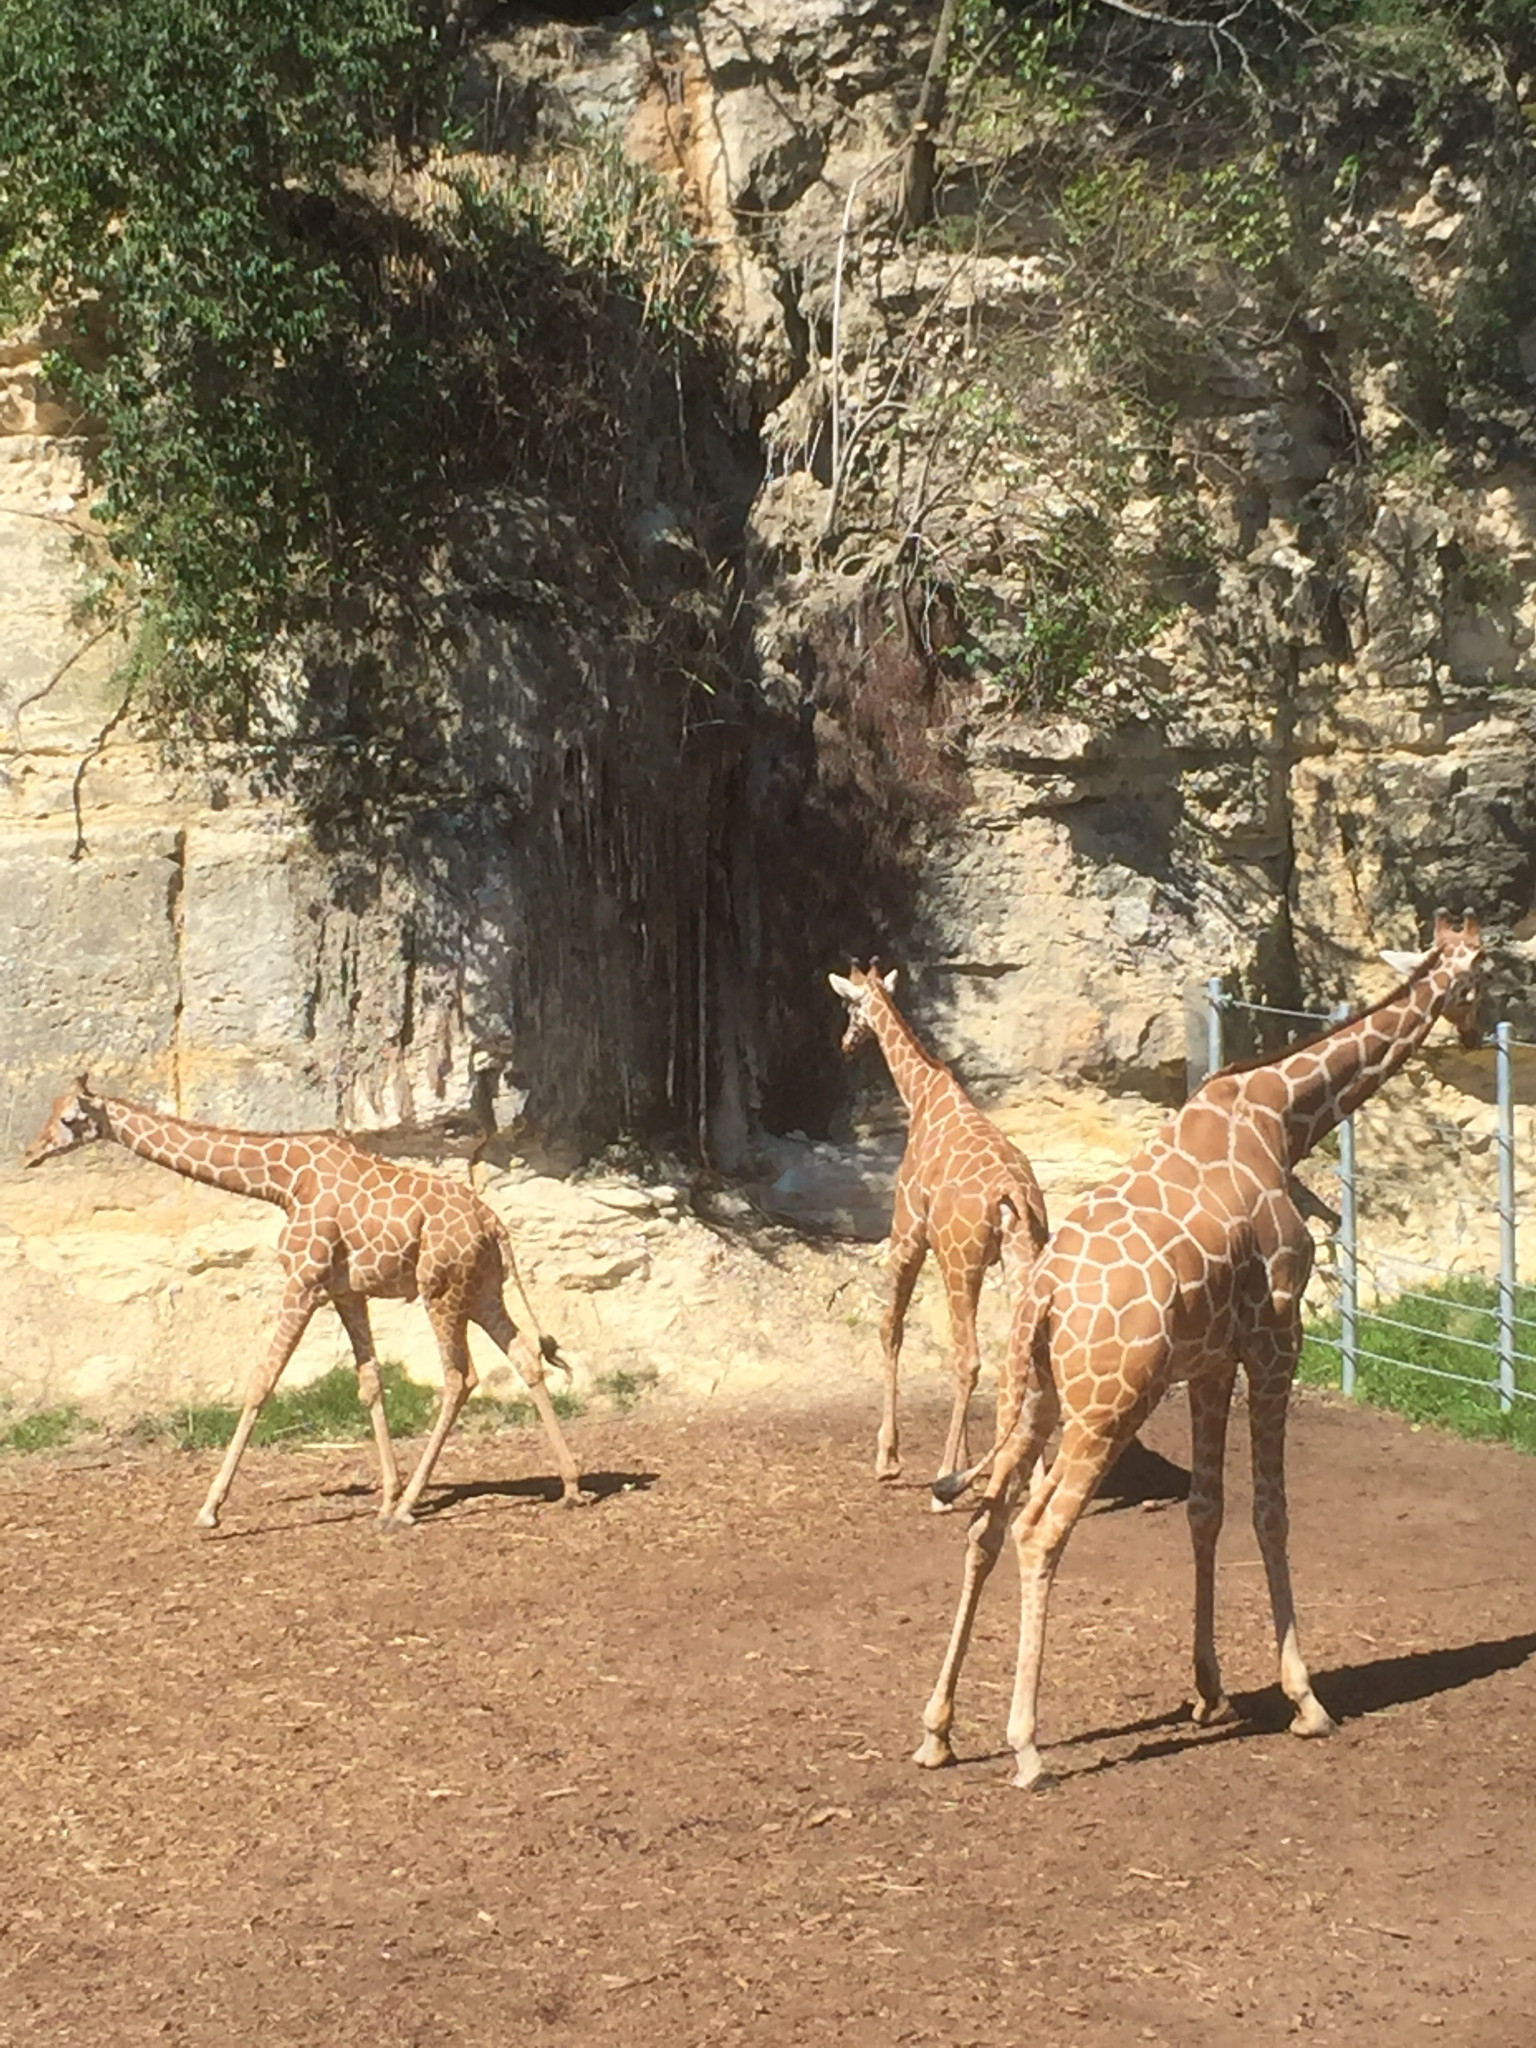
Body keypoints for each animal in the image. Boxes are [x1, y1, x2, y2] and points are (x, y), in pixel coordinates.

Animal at [20, 1081, 585, 1531]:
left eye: (69, 1118)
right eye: (50, 1109)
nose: (31, 1152)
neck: (282, 1183)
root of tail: (495, 1226)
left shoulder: (303, 1282)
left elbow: (261, 1381)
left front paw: (209, 1509)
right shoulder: (346, 1292)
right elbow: (370, 1383)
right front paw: (384, 1496)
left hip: (440, 1289)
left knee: (459, 1377)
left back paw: (409, 1509)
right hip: (481, 1290)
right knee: (525, 1356)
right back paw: (571, 1485)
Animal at [831, 950, 1056, 1499]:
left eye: (848, 1007)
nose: (845, 1045)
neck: (921, 1094)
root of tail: (1010, 1194)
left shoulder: (908, 1235)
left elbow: (890, 1327)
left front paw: (887, 1460)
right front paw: (972, 1463)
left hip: (961, 1263)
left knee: (969, 1357)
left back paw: (944, 1480)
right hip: (1020, 1257)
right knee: (1023, 1353)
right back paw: (1023, 1476)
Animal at [913, 913, 1490, 1794]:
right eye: (1489, 972)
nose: (1483, 1028)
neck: (1282, 1118)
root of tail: (1045, 1295)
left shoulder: (1211, 1362)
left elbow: (1205, 1510)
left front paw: (1208, 1691)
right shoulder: (1277, 1339)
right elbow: (1271, 1513)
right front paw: (1305, 1701)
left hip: (1033, 1393)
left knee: (987, 1519)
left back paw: (938, 1730)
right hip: (1108, 1405)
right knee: (1039, 1530)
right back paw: (1027, 1747)